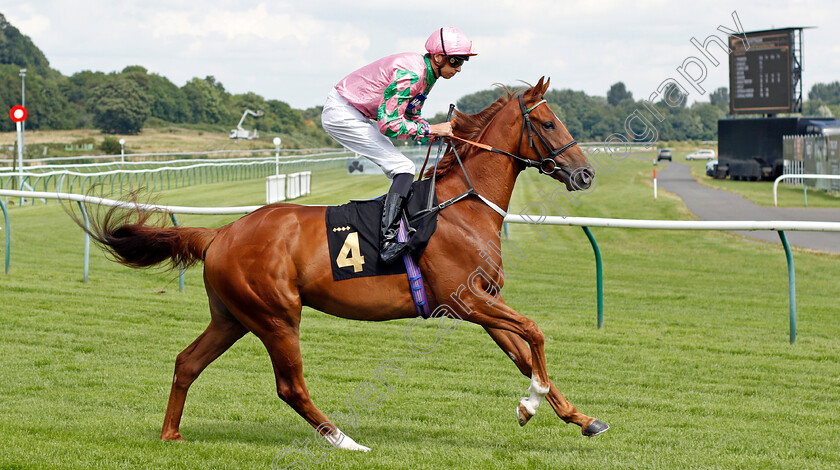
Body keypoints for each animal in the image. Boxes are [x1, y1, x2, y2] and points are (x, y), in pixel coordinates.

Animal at [85, 78, 608, 452]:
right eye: (548, 124)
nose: (585, 174)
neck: (461, 208)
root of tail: (222, 233)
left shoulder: (481, 302)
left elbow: (523, 352)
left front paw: (578, 418)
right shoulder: (466, 302)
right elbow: (536, 332)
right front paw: (531, 405)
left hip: (233, 316)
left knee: (187, 362)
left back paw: (171, 434)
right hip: (276, 315)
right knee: (290, 386)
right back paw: (343, 439)